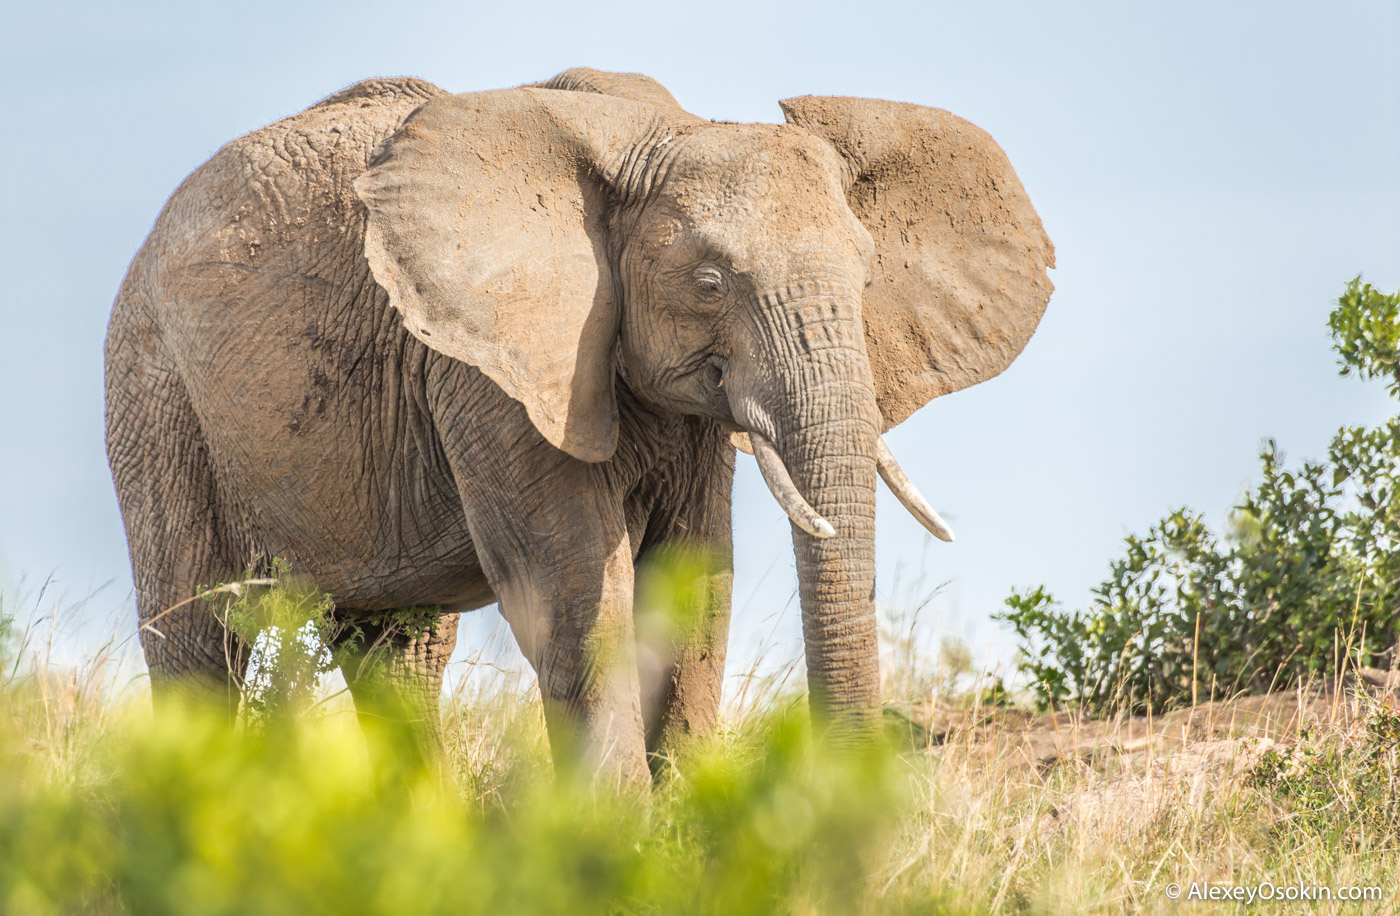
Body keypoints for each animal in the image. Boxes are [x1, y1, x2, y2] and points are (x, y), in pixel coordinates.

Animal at [106, 66, 1052, 784]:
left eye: (865, 278)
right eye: (710, 283)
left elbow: (694, 588)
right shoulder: (486, 371)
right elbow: (573, 598)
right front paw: (620, 839)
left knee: (401, 650)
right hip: (155, 390)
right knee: (198, 635)